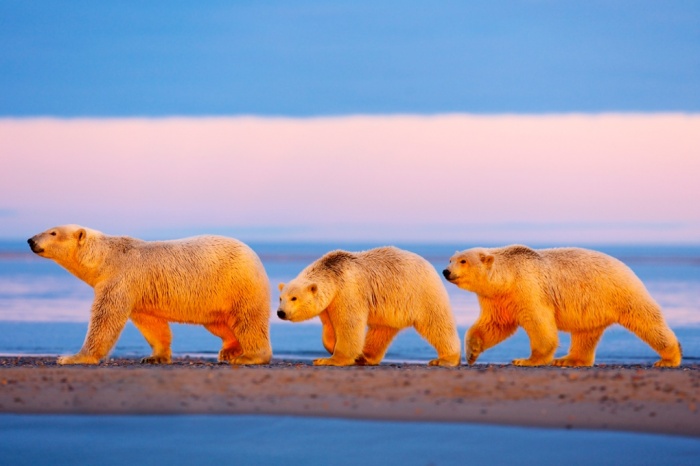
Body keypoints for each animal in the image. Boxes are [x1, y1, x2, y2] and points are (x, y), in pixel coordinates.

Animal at [26, 225, 270, 364]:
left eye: (53, 232)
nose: (30, 240)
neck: (106, 257)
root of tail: (256, 257)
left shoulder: (120, 279)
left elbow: (105, 319)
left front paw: (73, 357)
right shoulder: (139, 291)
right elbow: (150, 323)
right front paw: (154, 357)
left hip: (237, 285)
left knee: (248, 321)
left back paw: (250, 356)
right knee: (218, 323)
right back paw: (229, 350)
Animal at [276, 248, 462, 368]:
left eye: (294, 298)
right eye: (280, 298)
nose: (280, 312)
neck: (333, 273)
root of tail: (429, 265)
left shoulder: (348, 290)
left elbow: (349, 323)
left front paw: (329, 360)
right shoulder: (329, 303)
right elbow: (329, 326)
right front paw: (334, 347)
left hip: (421, 293)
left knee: (436, 323)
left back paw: (445, 359)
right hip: (391, 307)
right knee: (381, 331)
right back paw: (365, 356)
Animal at [446, 244, 680, 368]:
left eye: (463, 261)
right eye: (451, 259)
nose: (446, 271)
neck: (508, 277)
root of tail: (627, 267)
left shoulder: (529, 288)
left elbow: (539, 323)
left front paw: (527, 360)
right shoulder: (499, 299)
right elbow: (494, 324)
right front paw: (472, 352)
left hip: (621, 293)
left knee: (647, 321)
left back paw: (669, 358)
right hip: (592, 307)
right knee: (585, 334)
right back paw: (569, 360)